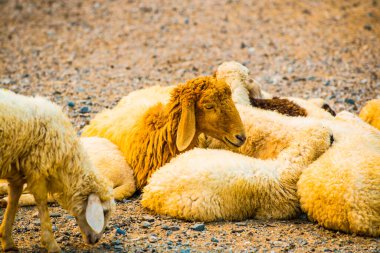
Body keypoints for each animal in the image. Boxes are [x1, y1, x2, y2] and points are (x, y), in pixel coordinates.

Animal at [0, 90, 114, 252]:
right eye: (104, 212)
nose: (97, 240)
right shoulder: (37, 169)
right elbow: (42, 204)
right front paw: (51, 244)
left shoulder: (17, 172)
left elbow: (13, 201)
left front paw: (7, 240)